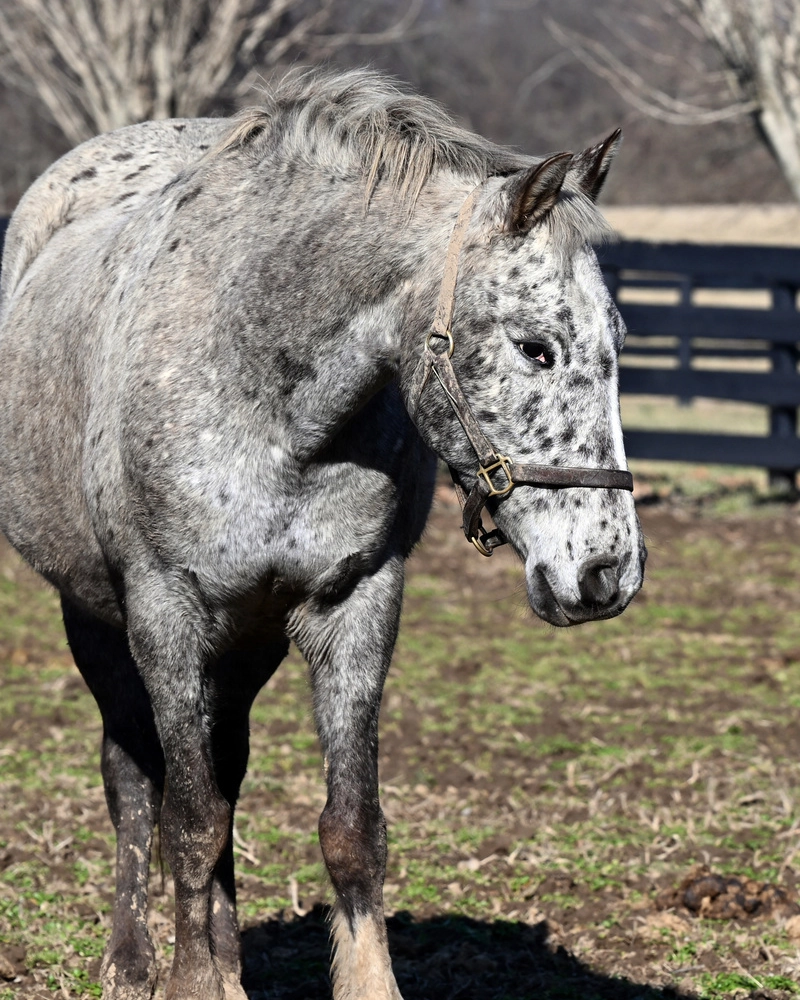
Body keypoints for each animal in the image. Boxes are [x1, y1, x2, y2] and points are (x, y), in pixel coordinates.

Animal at [0, 68, 645, 1000]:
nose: (606, 573)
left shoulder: (355, 605)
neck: (262, 383)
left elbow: (350, 831)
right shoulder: (165, 614)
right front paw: (191, 983)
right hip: (94, 617)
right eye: (535, 348)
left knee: (226, 775)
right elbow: (186, 822)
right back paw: (131, 960)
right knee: (135, 780)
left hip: (248, 639)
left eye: (618, 342)